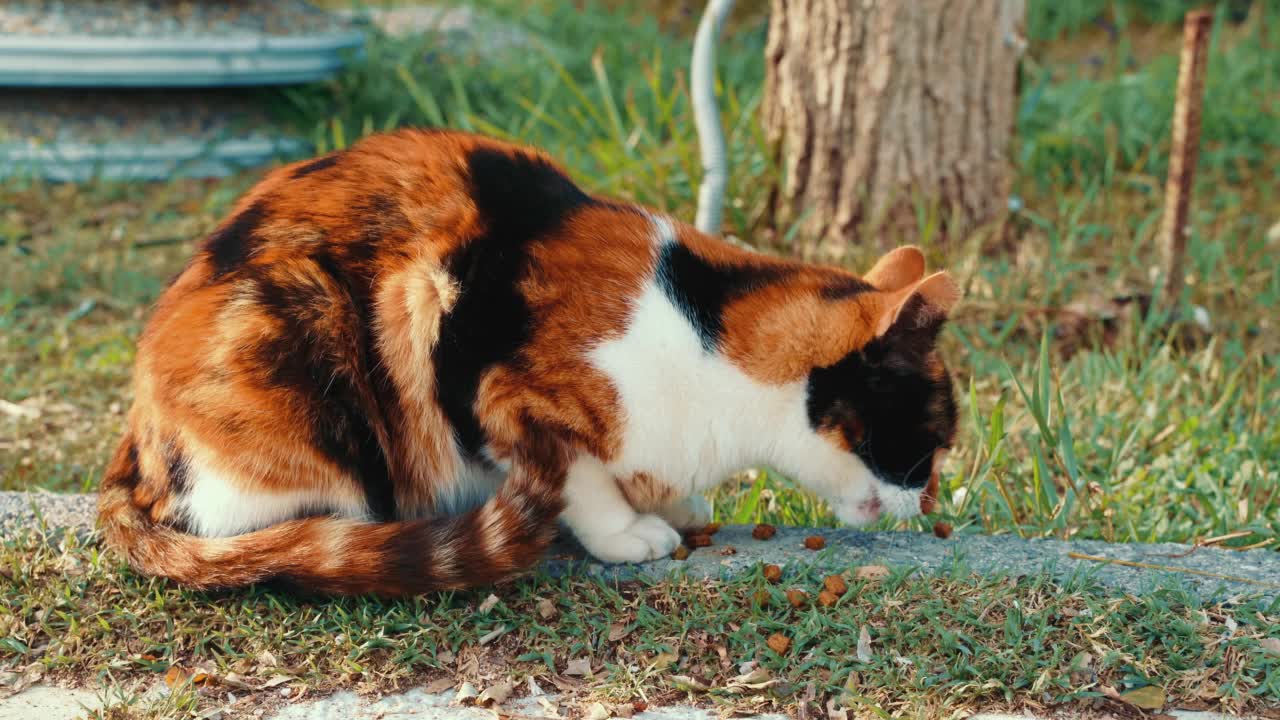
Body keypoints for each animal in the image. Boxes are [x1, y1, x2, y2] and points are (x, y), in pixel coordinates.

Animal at [97, 127, 962, 594]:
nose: (929, 502)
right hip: (308, 336)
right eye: (934, 441)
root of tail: (137, 434)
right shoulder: (505, 393)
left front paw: (677, 505)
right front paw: (629, 533)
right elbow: (581, 480)